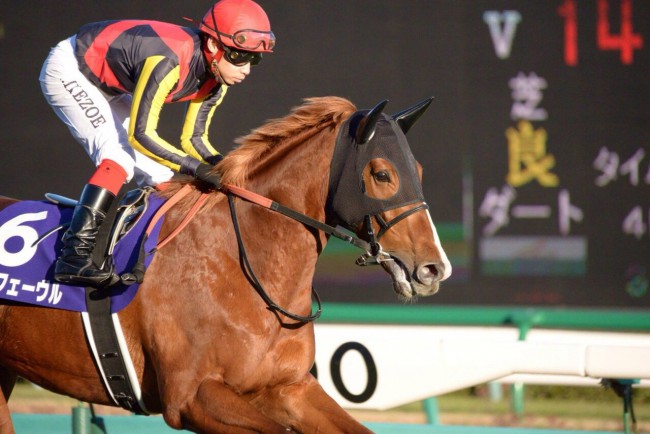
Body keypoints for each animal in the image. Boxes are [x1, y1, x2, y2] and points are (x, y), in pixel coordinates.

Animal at [0, 96, 450, 432]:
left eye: (418, 170)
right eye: (382, 174)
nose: (434, 268)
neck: (240, 264)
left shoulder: (288, 387)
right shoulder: (191, 397)